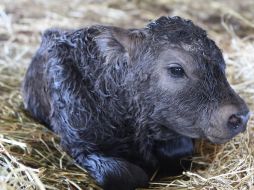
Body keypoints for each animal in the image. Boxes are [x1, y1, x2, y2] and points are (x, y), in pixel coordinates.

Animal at [22, 16, 249, 190]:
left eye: (222, 66)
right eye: (176, 69)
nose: (242, 115)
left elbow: (181, 152)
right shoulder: (79, 144)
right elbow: (126, 175)